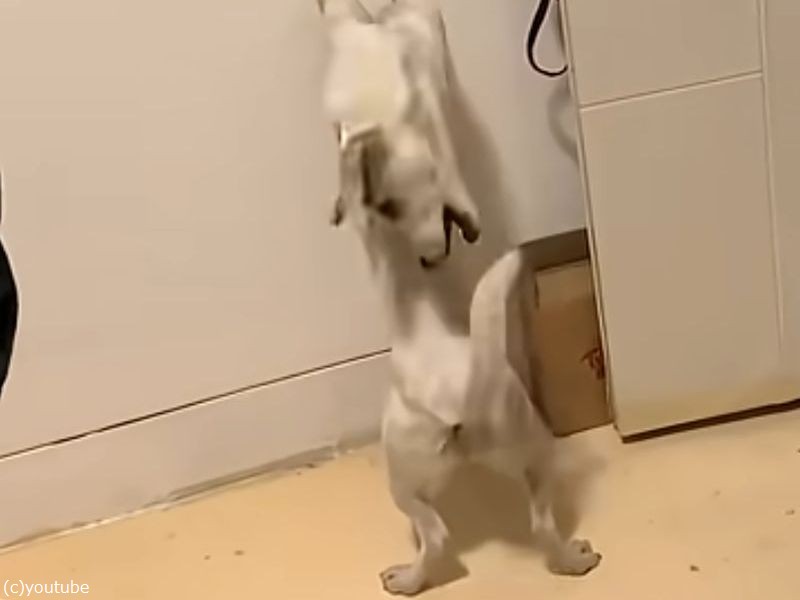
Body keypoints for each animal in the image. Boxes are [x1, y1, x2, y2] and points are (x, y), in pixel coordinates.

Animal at [319, 1, 601, 595]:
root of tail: (464, 395)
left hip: (410, 477)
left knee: (441, 536)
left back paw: (407, 579)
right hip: (528, 450)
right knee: (531, 525)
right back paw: (571, 560)